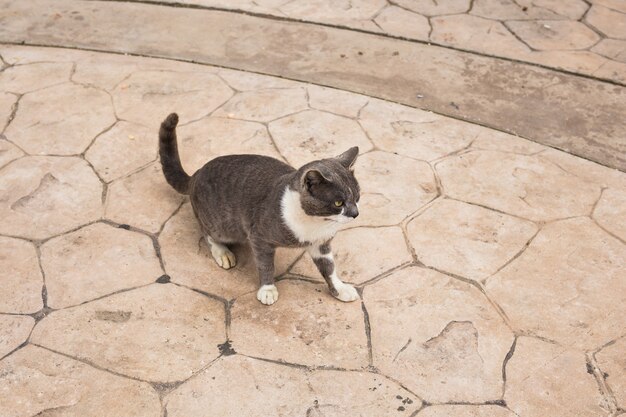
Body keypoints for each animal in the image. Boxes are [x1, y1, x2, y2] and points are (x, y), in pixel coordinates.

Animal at [158, 114, 358, 306]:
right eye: (338, 203)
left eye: (357, 196)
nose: (355, 213)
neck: (314, 223)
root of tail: (196, 174)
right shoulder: (259, 237)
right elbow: (265, 264)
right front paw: (267, 289)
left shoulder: (320, 244)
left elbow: (329, 268)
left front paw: (340, 289)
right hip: (222, 225)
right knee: (207, 232)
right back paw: (222, 252)